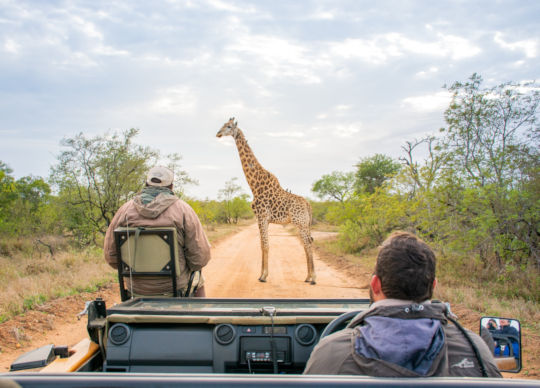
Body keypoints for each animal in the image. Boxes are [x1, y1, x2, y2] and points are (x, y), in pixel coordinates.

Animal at [216, 116, 316, 284]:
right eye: (223, 125)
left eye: (229, 126)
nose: (218, 133)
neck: (255, 185)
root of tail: (308, 205)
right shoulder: (264, 219)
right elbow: (263, 245)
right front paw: (263, 274)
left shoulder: (262, 217)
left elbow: (265, 245)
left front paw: (263, 276)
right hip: (303, 224)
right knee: (306, 243)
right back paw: (308, 277)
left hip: (301, 223)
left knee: (308, 243)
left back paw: (313, 278)